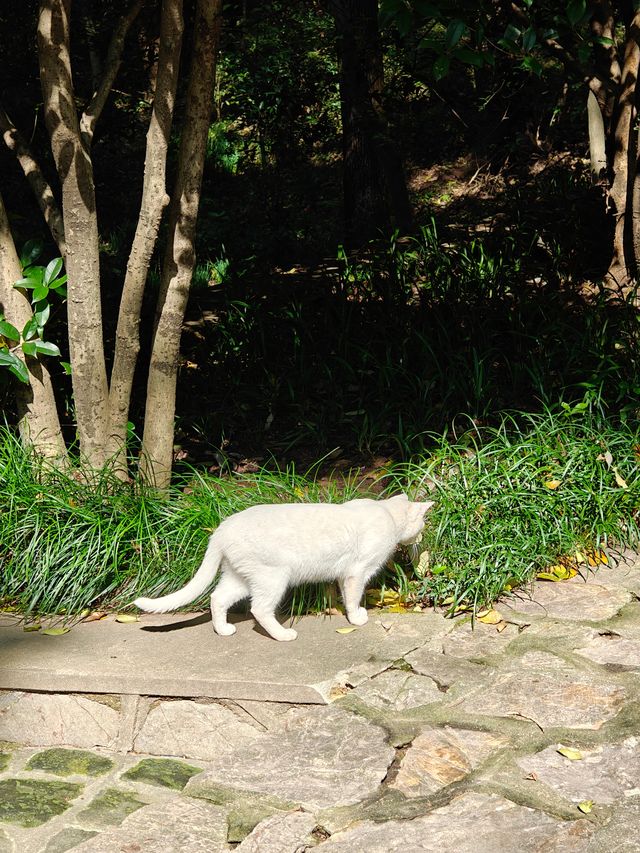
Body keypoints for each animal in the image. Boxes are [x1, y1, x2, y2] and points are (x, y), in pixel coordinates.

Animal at [132, 492, 432, 640]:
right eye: (423, 522)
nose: (423, 535)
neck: (387, 513)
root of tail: (222, 529)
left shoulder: (342, 574)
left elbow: (340, 593)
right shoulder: (357, 572)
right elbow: (353, 597)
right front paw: (356, 617)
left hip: (240, 578)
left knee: (217, 598)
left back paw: (223, 630)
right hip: (273, 577)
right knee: (259, 610)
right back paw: (283, 635)